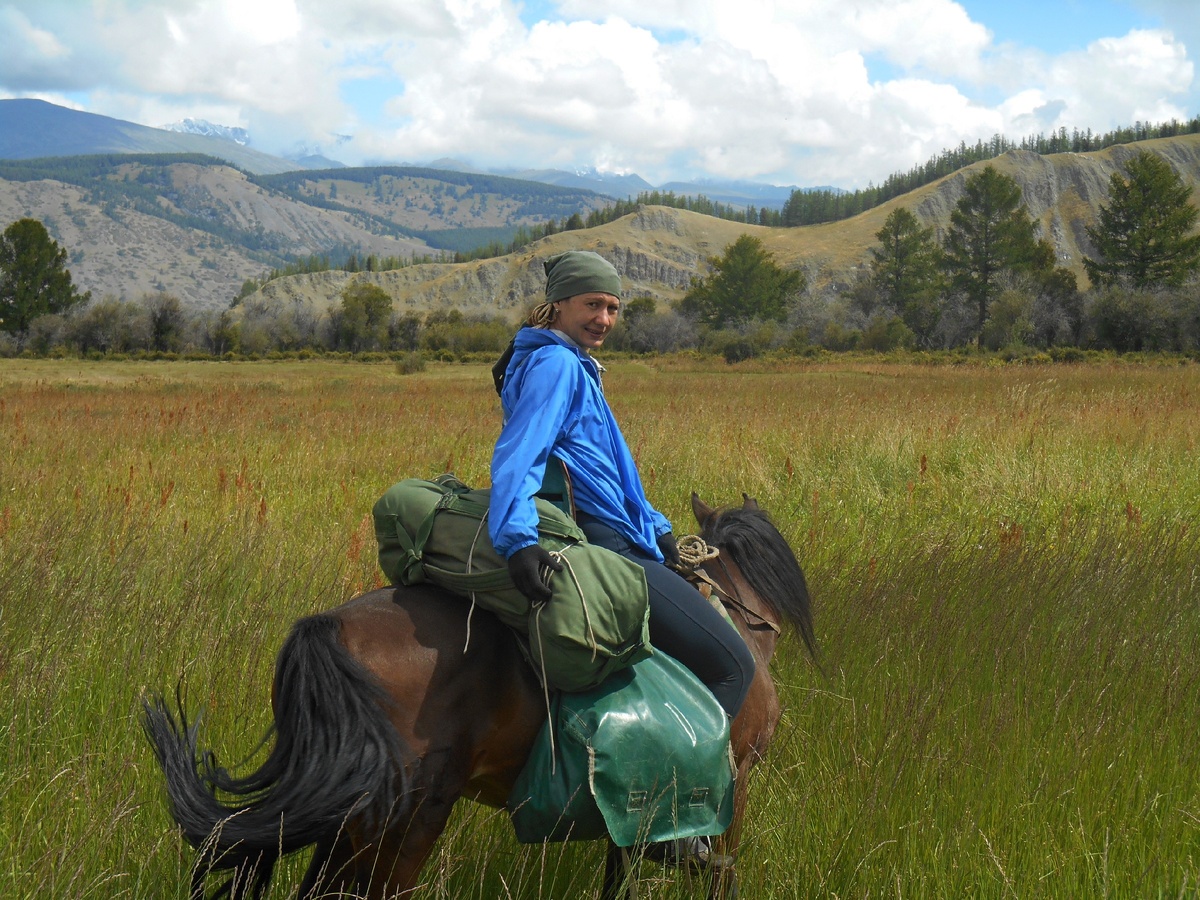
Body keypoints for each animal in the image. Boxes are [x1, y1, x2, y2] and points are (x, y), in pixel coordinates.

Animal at [140, 496, 816, 897]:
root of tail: (331, 628)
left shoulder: (632, 806)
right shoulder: (734, 784)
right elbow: (721, 873)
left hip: (348, 821)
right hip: (408, 820)